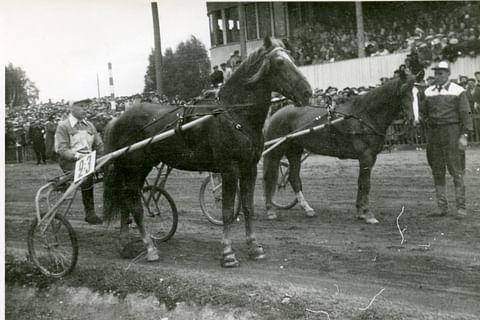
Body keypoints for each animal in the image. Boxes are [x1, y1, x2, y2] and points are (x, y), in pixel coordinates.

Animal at [102, 37, 312, 268]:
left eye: (293, 58)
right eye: (279, 63)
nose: (307, 93)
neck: (234, 114)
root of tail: (117, 118)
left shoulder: (249, 168)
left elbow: (248, 208)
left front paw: (254, 247)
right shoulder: (229, 169)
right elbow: (227, 210)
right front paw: (228, 253)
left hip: (137, 168)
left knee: (126, 201)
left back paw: (124, 245)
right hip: (134, 167)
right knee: (134, 204)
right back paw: (150, 248)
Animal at [262, 70, 420, 225]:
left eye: (419, 93)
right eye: (405, 91)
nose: (414, 121)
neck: (364, 116)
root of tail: (275, 115)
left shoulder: (370, 157)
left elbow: (360, 183)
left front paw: (360, 212)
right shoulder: (366, 156)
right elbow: (365, 184)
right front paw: (368, 214)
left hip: (294, 151)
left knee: (293, 178)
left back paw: (307, 209)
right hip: (276, 151)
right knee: (269, 177)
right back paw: (270, 210)